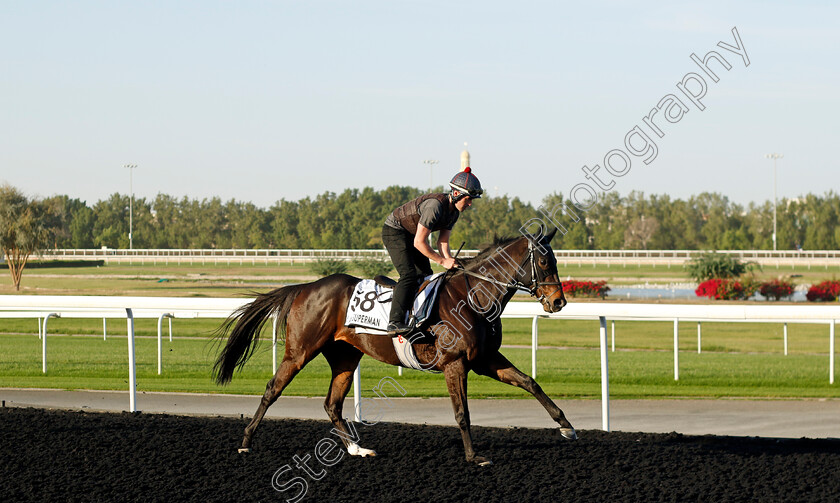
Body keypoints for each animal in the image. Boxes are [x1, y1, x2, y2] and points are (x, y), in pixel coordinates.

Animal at [213, 230, 576, 466]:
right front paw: (474, 457)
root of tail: (306, 287)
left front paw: (566, 426)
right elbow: (462, 413)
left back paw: (358, 450)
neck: (473, 296)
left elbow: (530, 382)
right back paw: (245, 443)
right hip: (300, 351)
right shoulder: (455, 362)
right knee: (272, 389)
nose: (558, 301)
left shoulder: (485, 358)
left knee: (332, 404)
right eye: (545, 262)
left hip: (346, 356)